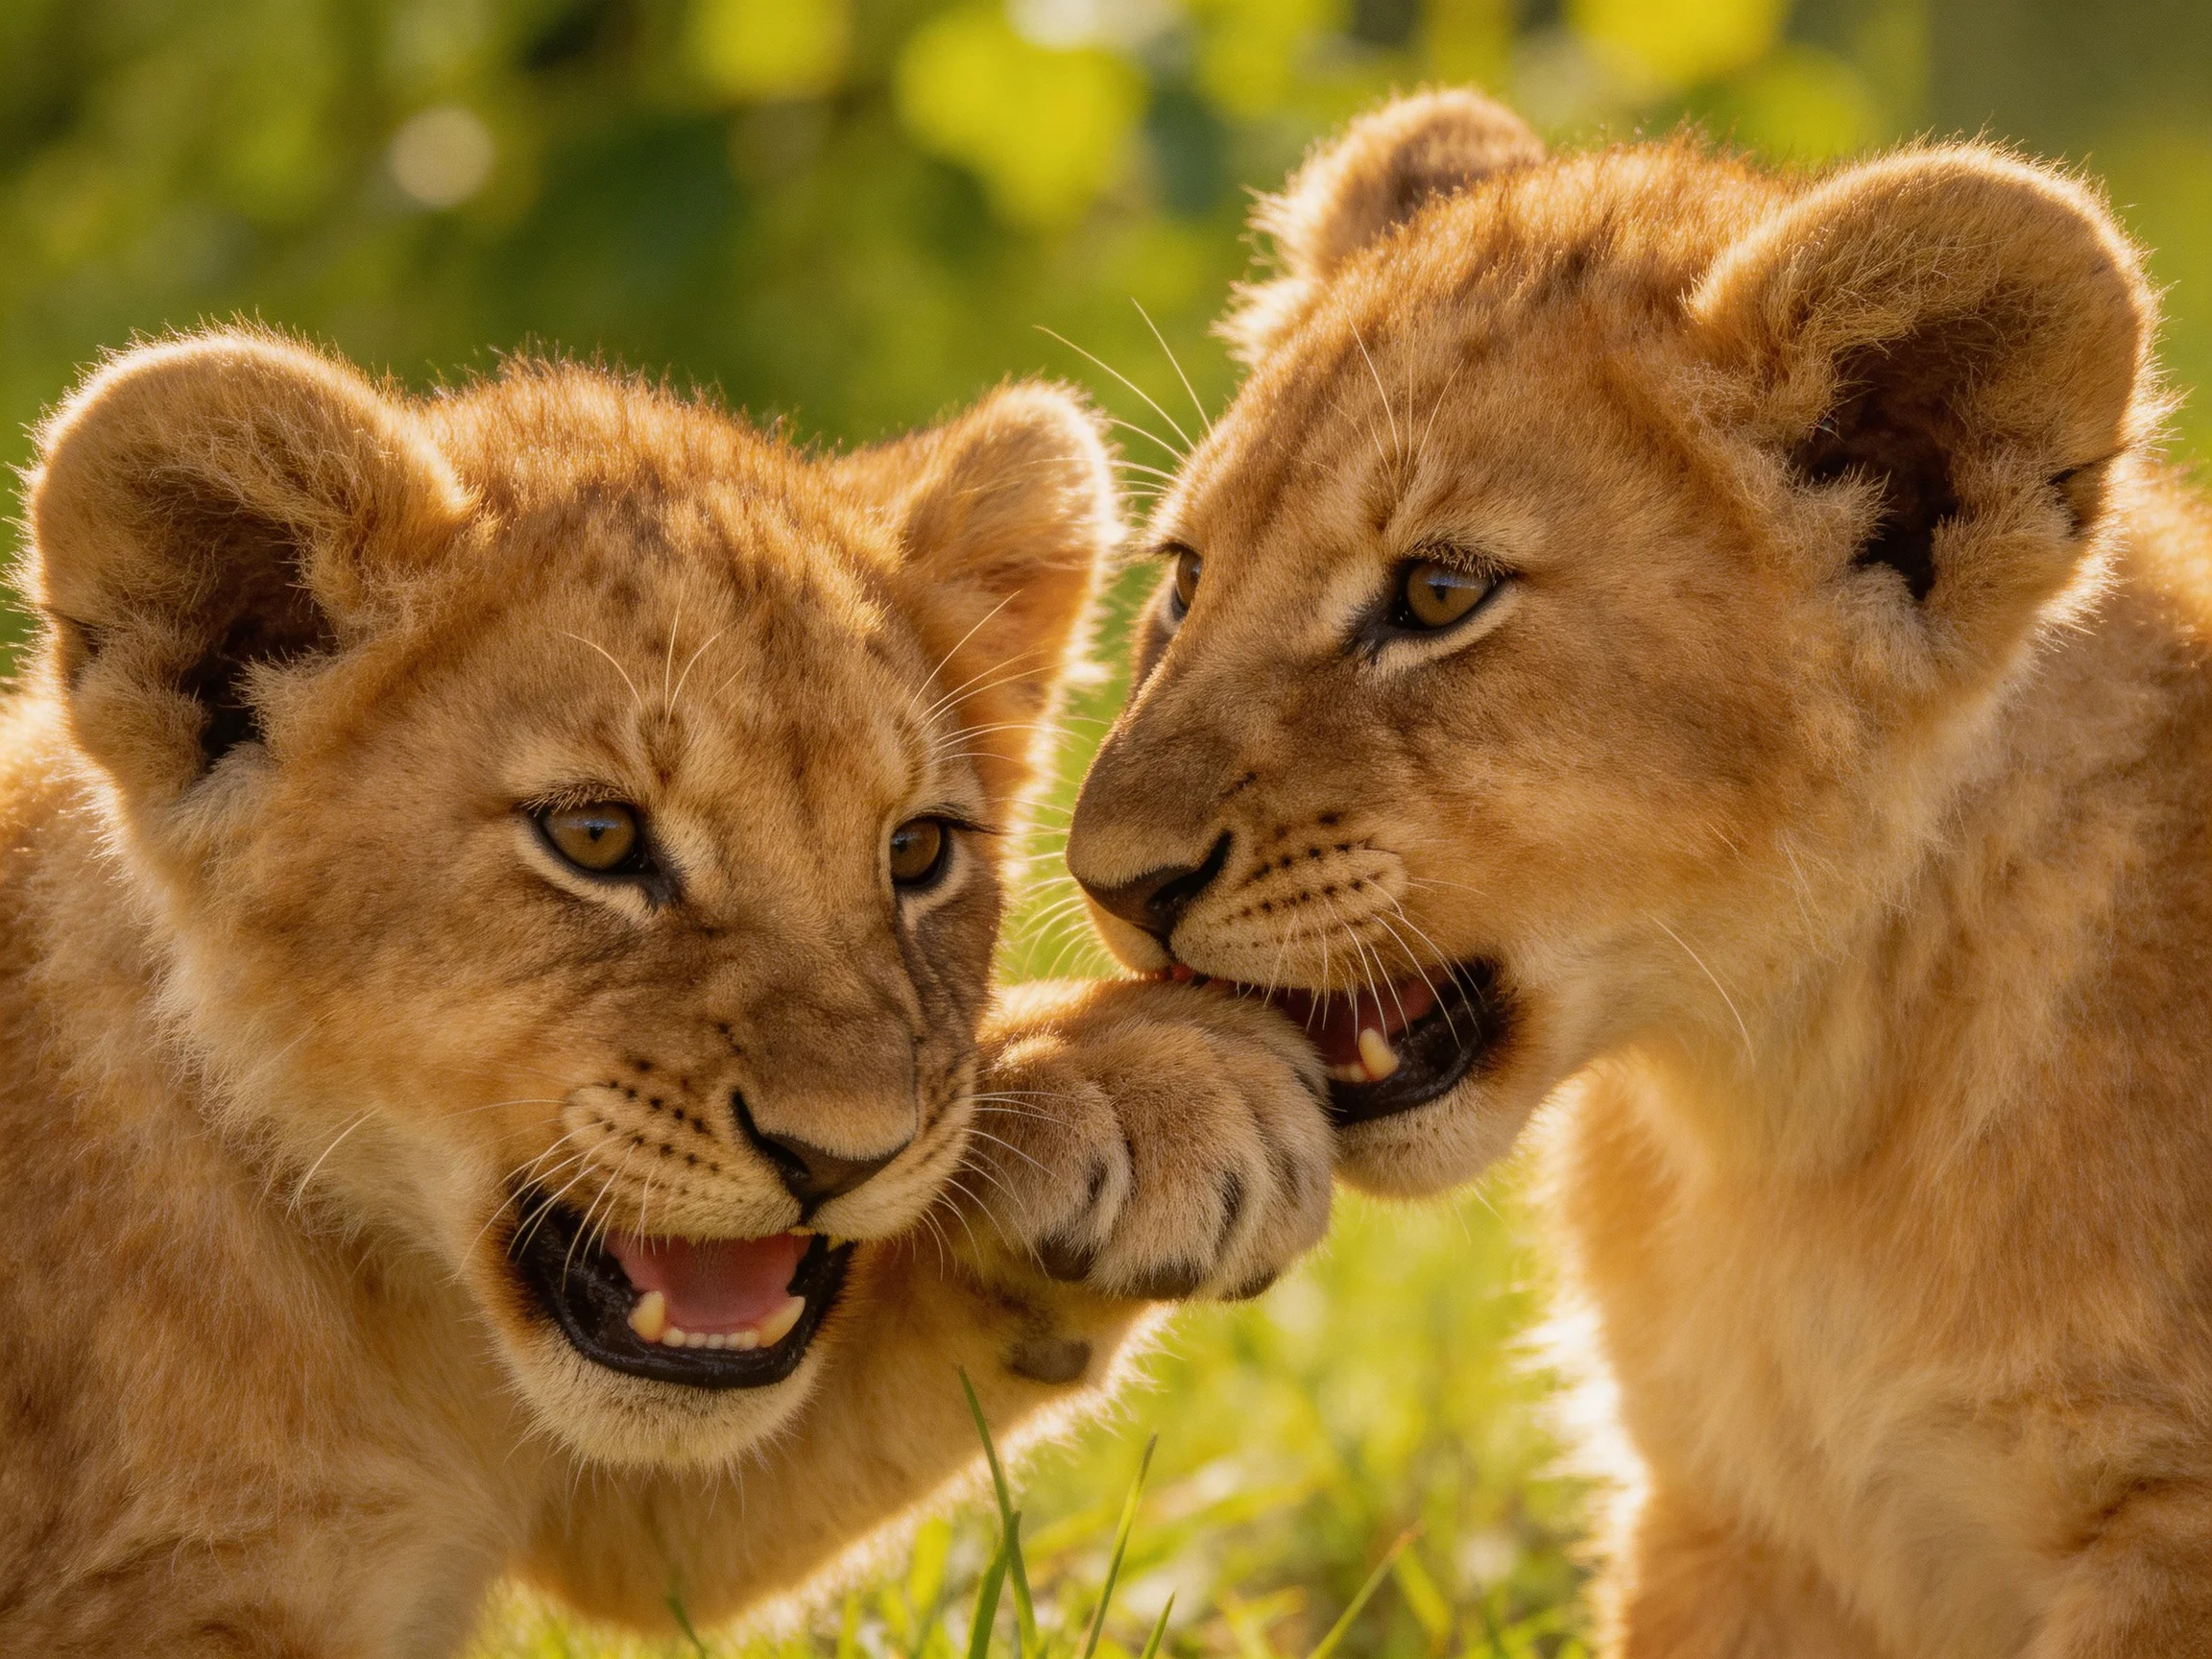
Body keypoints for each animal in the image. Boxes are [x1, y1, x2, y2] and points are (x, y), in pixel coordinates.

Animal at [0, 330, 1335, 1656]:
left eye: (916, 851)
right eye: (594, 836)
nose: (839, 1157)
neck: (383, 1290)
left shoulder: (624, 1492)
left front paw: (1145, 1095)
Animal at [1065, 89, 2212, 1655]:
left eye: (1439, 593)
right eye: (1184, 580)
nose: (1109, 881)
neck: (1794, 1120)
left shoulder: (2165, 1533)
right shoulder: (1721, 1515)